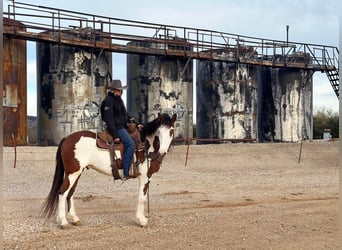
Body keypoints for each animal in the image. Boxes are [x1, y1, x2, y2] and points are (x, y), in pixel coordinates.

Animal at [40, 113, 176, 229]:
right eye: (159, 132)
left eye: (171, 131)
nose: (162, 151)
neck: (146, 146)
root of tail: (67, 138)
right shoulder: (144, 176)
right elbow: (141, 198)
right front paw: (141, 221)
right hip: (72, 173)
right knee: (63, 192)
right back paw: (63, 222)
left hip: (76, 173)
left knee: (70, 193)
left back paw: (74, 219)